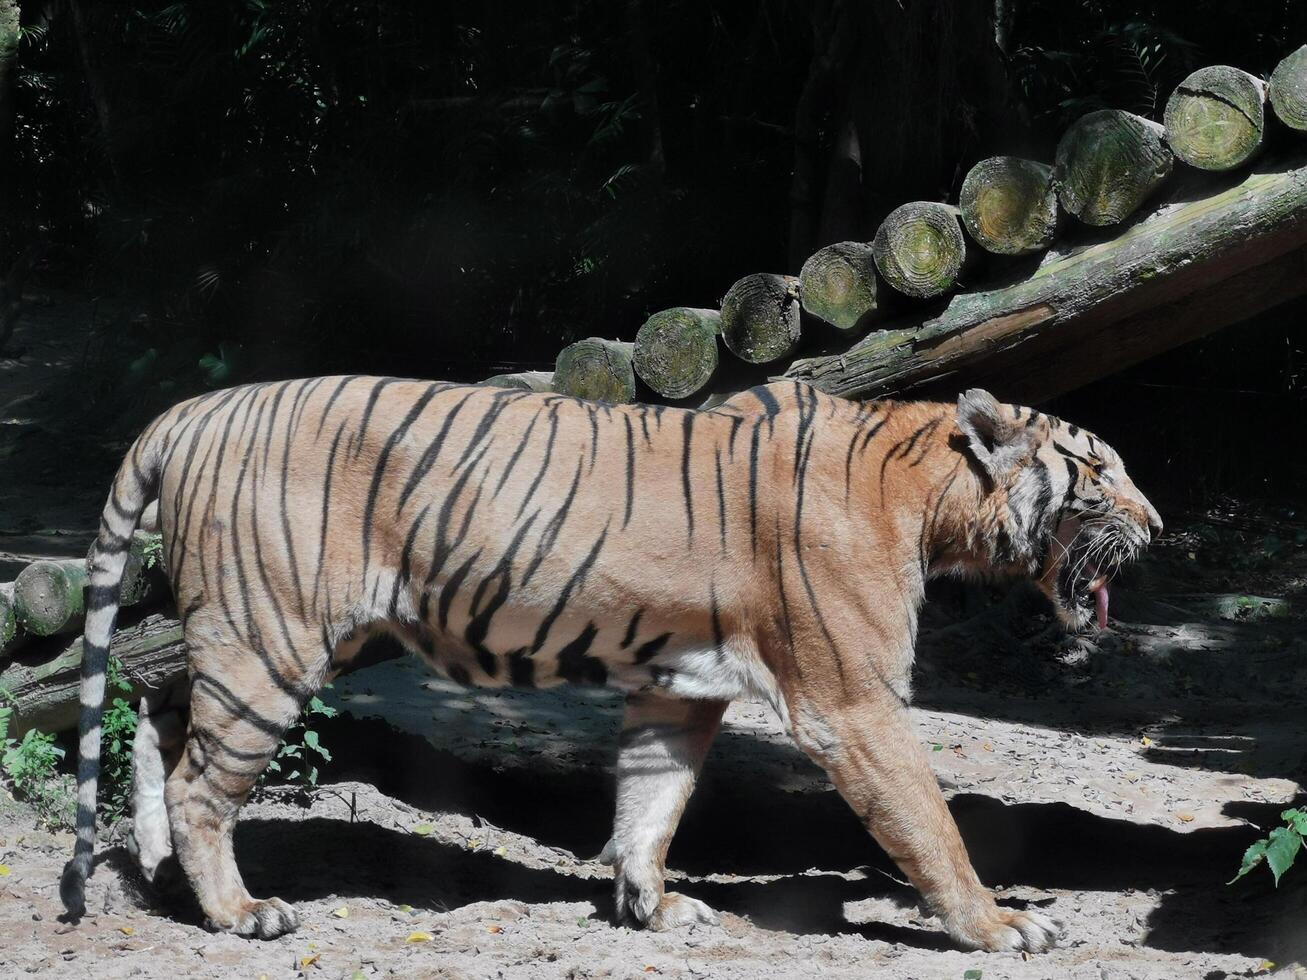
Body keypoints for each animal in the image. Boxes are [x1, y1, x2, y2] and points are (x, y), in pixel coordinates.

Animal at [63, 376, 1165, 951]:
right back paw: (240, 912)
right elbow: (929, 824)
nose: (1156, 526)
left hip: (254, 636)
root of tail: (189, 410)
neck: (930, 494)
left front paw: (649, 903)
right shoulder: (853, 702)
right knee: (203, 780)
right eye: (1098, 468)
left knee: (157, 712)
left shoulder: (678, 689)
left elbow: (651, 801)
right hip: (273, 637)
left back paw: (156, 870)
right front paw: (996, 924)